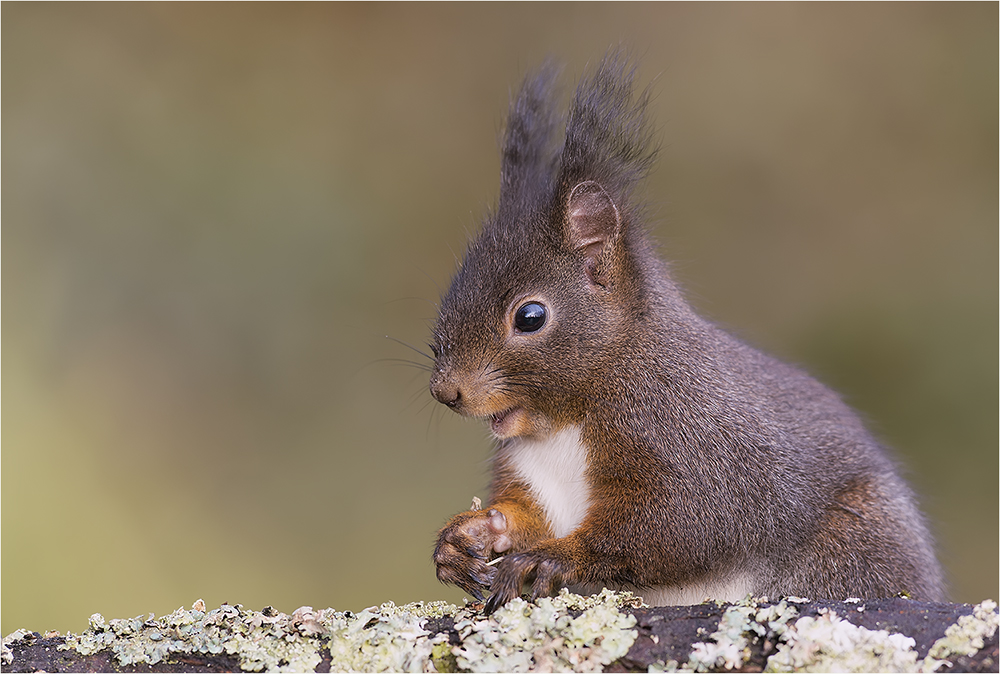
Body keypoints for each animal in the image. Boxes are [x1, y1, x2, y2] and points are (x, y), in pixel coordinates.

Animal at [426, 55, 940, 612]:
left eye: (530, 317)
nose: (446, 391)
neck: (568, 416)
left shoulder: (693, 440)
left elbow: (679, 525)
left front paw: (551, 558)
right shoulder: (533, 473)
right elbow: (524, 514)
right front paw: (468, 535)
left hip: (851, 552)